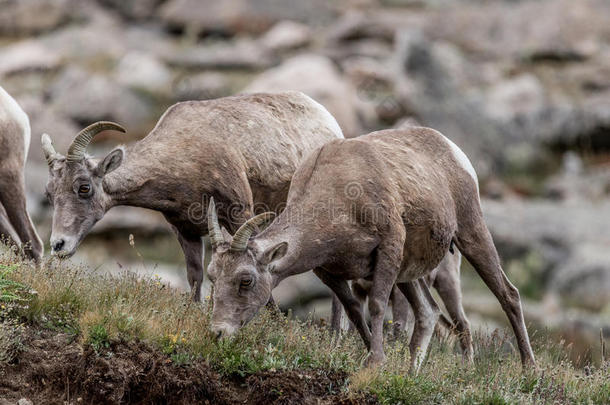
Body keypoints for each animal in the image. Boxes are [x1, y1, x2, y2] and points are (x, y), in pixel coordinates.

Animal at [41, 92, 346, 300]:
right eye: (49, 193)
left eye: (84, 187)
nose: (58, 245)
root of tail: (329, 121)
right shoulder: (185, 230)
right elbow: (196, 277)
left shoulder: (241, 216)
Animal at [207, 126, 536, 370]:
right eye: (213, 276)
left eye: (245, 280)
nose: (218, 333)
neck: (338, 196)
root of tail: (453, 149)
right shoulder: (330, 272)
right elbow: (354, 311)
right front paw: (373, 360)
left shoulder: (388, 248)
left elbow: (376, 306)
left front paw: (376, 363)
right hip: (409, 273)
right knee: (427, 312)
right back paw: (410, 375)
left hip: (470, 234)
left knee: (508, 294)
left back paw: (529, 370)